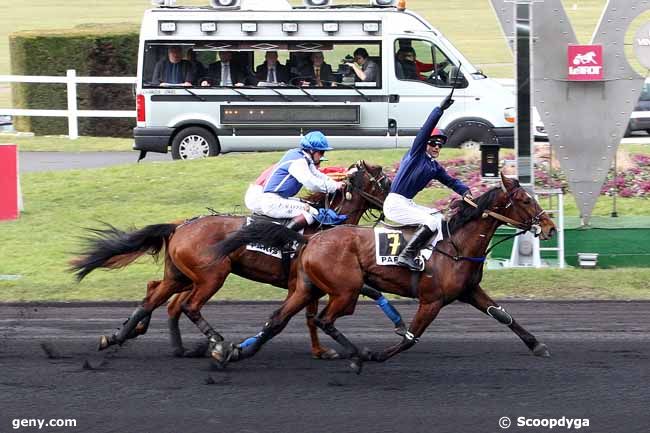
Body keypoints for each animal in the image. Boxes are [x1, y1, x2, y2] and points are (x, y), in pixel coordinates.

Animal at [68, 160, 398, 356]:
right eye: (384, 181)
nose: (396, 203)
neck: (325, 224)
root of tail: (180, 226)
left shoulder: (312, 284)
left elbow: (309, 316)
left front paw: (321, 351)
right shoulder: (304, 282)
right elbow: (305, 316)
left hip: (180, 275)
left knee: (155, 298)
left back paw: (129, 337)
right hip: (212, 274)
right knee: (186, 306)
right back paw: (214, 342)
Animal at [214, 174, 556, 370]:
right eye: (524, 199)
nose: (550, 227)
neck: (456, 245)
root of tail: (309, 239)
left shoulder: (470, 291)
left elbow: (504, 316)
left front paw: (537, 345)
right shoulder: (431, 301)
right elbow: (411, 337)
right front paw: (381, 354)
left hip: (307, 287)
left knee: (277, 320)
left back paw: (235, 352)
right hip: (346, 290)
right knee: (324, 320)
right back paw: (358, 355)